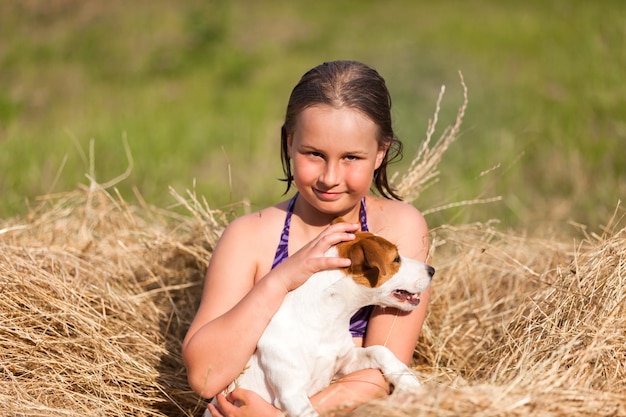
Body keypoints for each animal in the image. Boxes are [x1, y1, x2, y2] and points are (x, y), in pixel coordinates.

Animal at [207, 228, 432, 416]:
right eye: (396, 259)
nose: (432, 270)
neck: (327, 320)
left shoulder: (344, 364)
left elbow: (380, 350)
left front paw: (407, 380)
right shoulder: (292, 395)